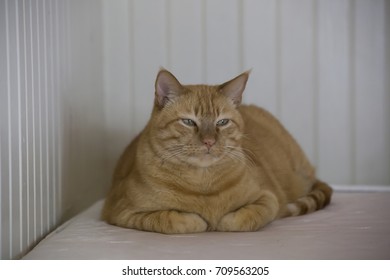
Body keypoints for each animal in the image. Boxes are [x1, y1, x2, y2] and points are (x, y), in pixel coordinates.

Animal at [101, 69, 332, 234]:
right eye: (188, 122)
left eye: (222, 122)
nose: (209, 141)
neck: (203, 184)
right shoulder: (121, 211)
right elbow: (173, 220)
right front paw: (200, 221)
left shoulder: (268, 199)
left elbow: (241, 219)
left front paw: (221, 221)